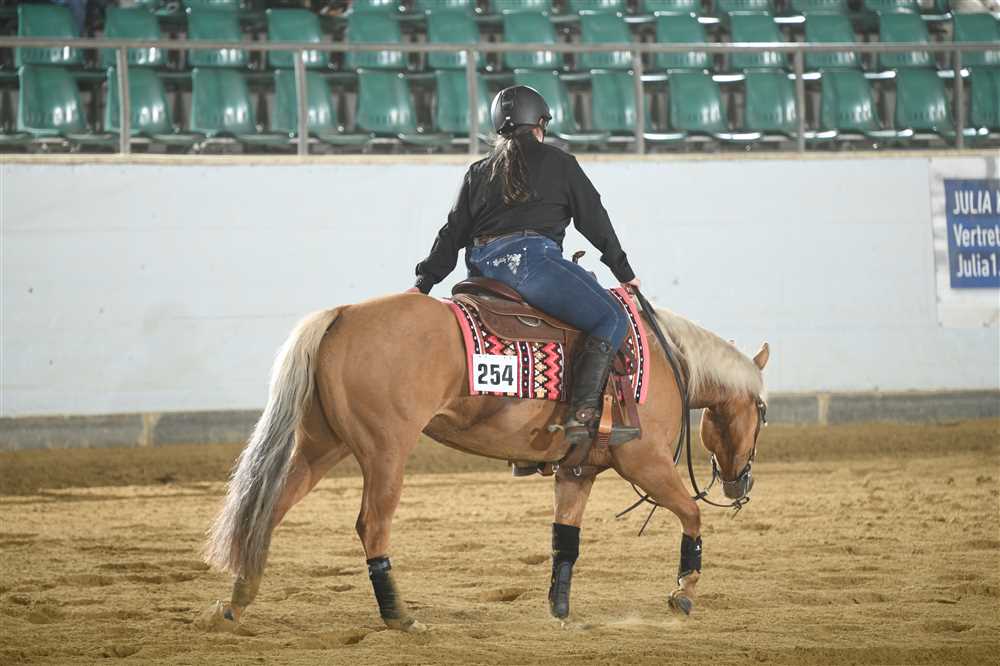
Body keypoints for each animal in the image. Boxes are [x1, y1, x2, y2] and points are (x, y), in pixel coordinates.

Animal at [201, 291, 770, 632]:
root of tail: (343, 314)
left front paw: (559, 611)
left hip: (323, 445)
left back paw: (236, 601)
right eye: (762, 411)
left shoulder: (577, 470)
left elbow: (565, 541)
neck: (667, 359)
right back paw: (398, 616)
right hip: (385, 451)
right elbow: (691, 515)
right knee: (371, 526)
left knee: (269, 510)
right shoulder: (645, 461)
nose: (741, 484)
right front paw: (684, 592)